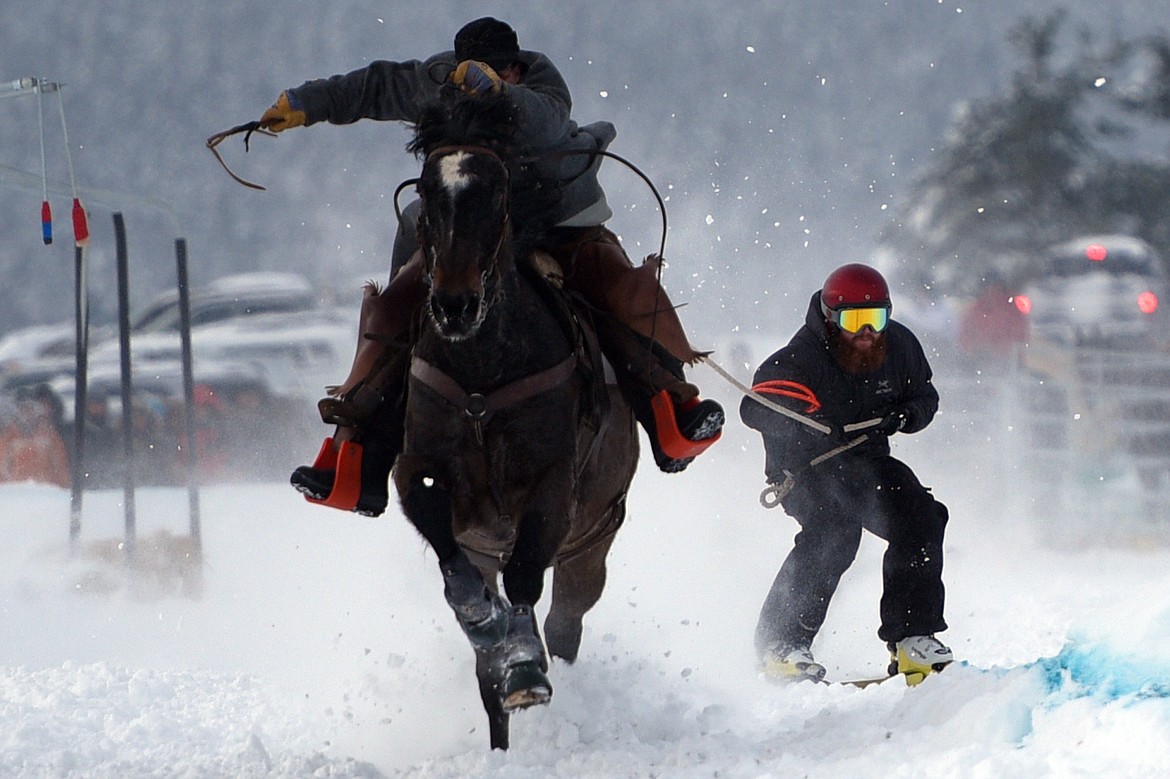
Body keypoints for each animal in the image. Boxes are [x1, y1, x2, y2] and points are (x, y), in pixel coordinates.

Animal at [388, 94, 636, 748]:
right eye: (429, 190)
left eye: (497, 192)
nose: (454, 304)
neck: (482, 376)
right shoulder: (421, 470)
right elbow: (445, 547)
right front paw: (483, 620)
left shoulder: (552, 489)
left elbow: (528, 575)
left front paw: (524, 663)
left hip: (591, 544)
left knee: (567, 620)